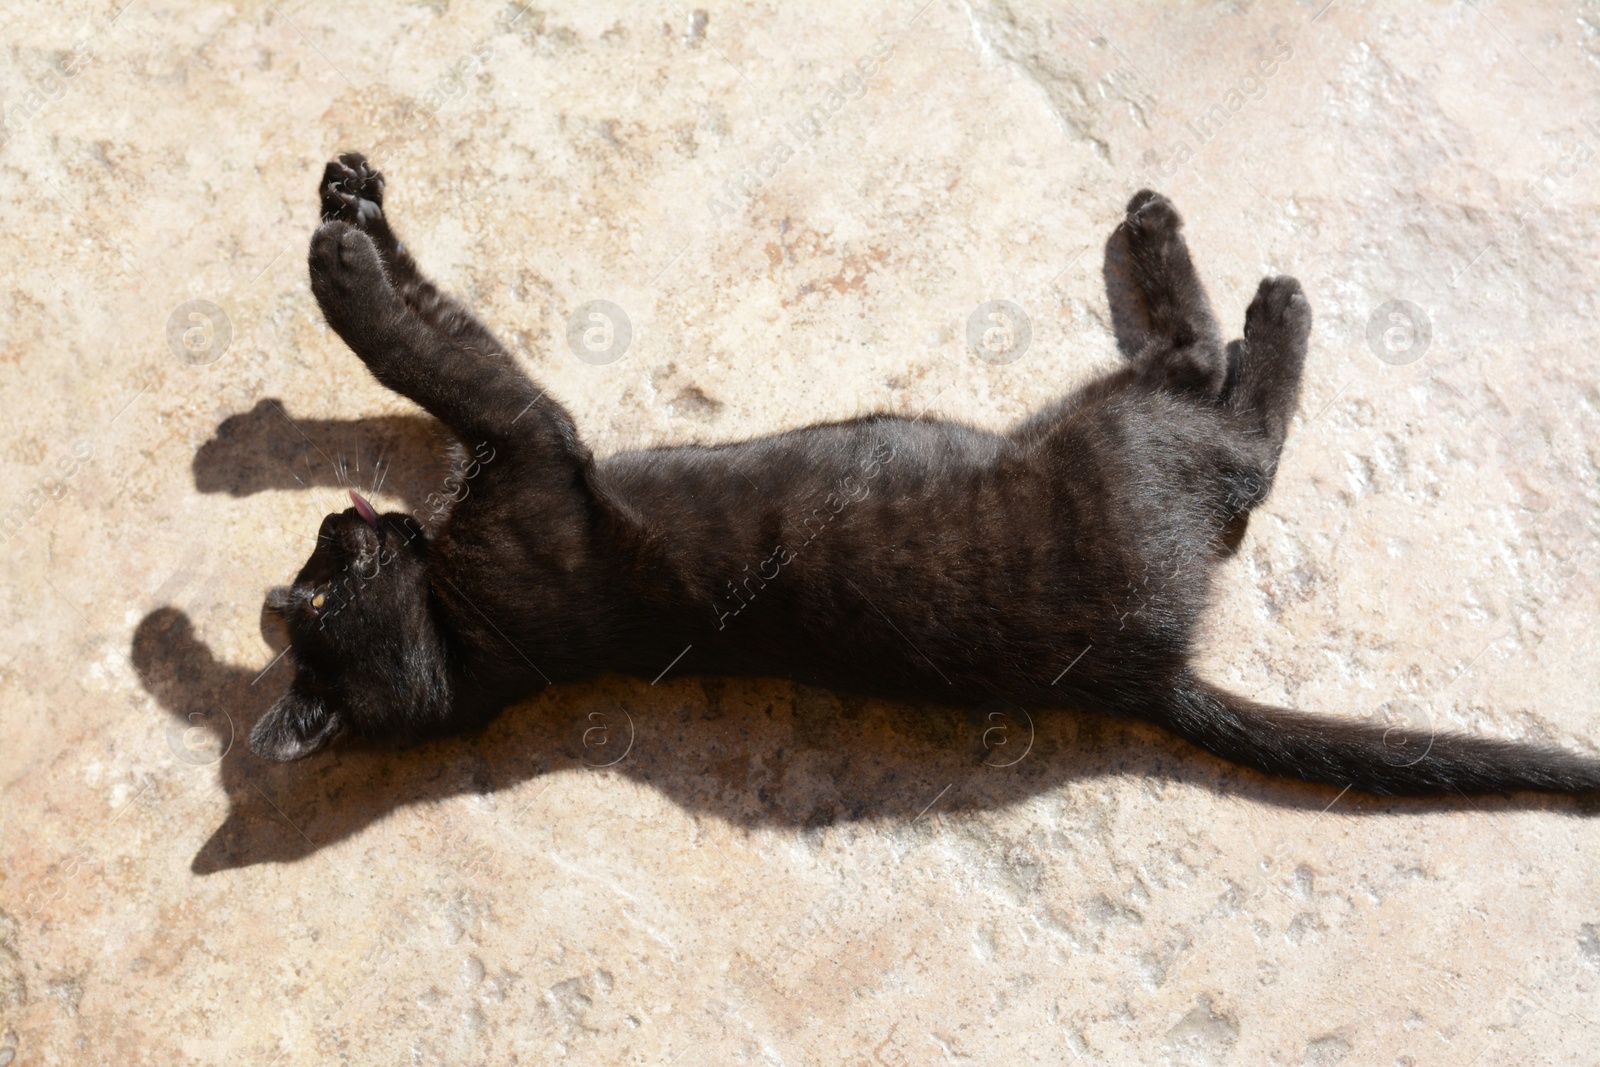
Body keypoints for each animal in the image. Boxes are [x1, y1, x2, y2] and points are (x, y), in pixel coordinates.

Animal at [249, 154, 1600, 796]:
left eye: (305, 586)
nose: (319, 539)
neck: (457, 630)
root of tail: (1151, 673)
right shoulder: (531, 434)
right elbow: (424, 345)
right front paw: (336, 263)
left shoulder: (515, 438)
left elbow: (426, 326)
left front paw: (351, 205)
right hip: (1113, 431)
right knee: (1224, 407)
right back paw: (1241, 279)